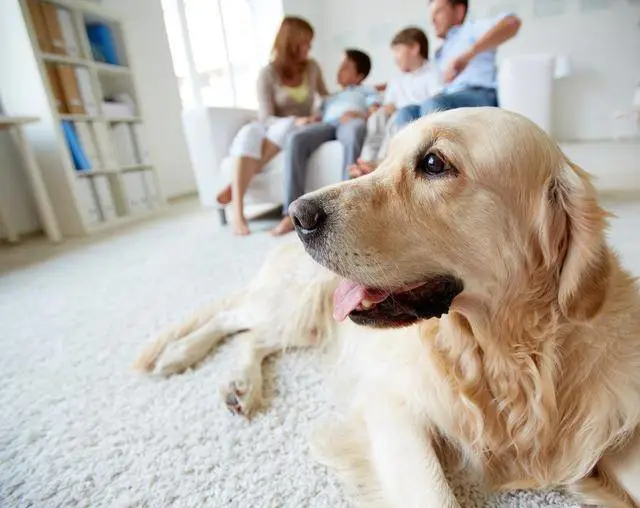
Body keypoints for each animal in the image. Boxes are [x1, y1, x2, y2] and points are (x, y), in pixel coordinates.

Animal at [136, 108, 640, 508]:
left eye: (434, 163)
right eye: (383, 161)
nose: (297, 215)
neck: (505, 357)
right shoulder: (394, 406)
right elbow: (435, 494)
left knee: (254, 336)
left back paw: (240, 385)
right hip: (298, 302)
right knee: (234, 318)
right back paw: (181, 355)